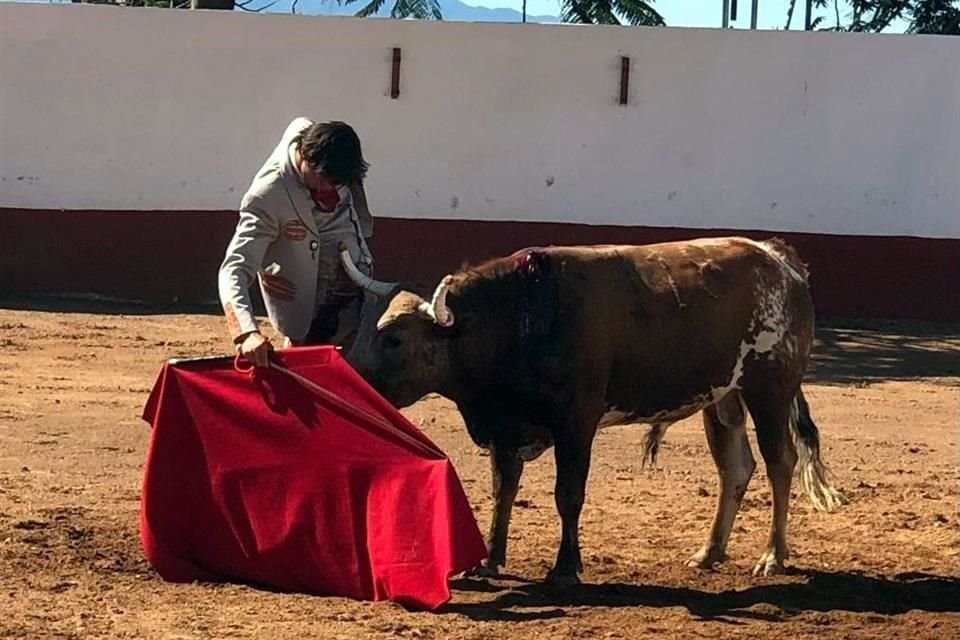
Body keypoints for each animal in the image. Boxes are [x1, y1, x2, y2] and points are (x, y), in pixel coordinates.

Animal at [338, 236, 840, 584]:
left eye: (395, 339)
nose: (356, 376)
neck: (522, 314)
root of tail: (778, 258)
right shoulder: (507, 426)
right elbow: (503, 489)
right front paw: (489, 559)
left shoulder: (576, 421)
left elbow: (568, 494)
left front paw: (565, 566)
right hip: (722, 399)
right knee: (735, 468)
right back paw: (709, 552)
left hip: (769, 389)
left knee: (780, 464)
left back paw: (772, 556)